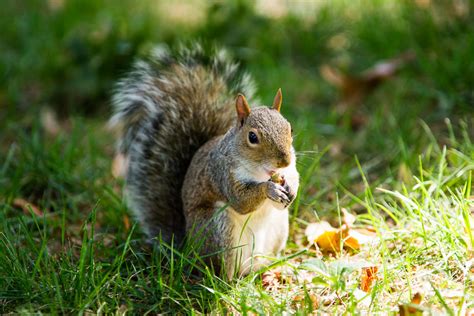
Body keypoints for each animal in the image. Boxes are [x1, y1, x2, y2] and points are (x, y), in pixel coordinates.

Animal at [109, 44, 298, 278]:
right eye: (252, 137)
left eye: (290, 128)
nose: (284, 161)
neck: (261, 171)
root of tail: (189, 251)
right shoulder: (222, 173)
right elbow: (241, 201)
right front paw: (269, 189)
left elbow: (292, 181)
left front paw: (291, 188)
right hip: (217, 229)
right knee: (221, 270)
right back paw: (230, 281)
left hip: (278, 229)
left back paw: (273, 268)